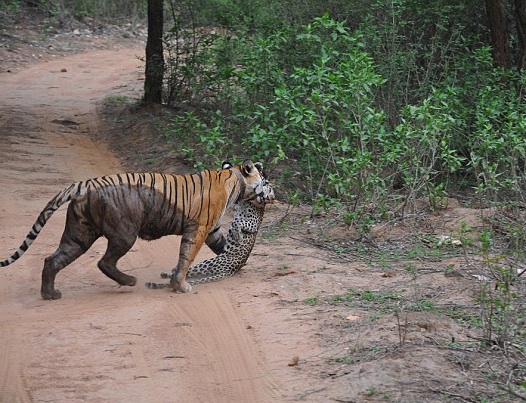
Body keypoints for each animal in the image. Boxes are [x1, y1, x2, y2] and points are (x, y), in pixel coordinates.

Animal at [0, 160, 268, 300]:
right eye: (264, 178)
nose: (269, 188)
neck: (235, 179)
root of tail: (85, 184)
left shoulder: (211, 229)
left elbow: (222, 247)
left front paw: (235, 261)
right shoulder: (198, 229)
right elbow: (186, 259)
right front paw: (180, 286)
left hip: (79, 234)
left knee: (52, 259)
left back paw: (50, 294)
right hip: (124, 233)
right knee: (104, 262)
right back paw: (129, 281)